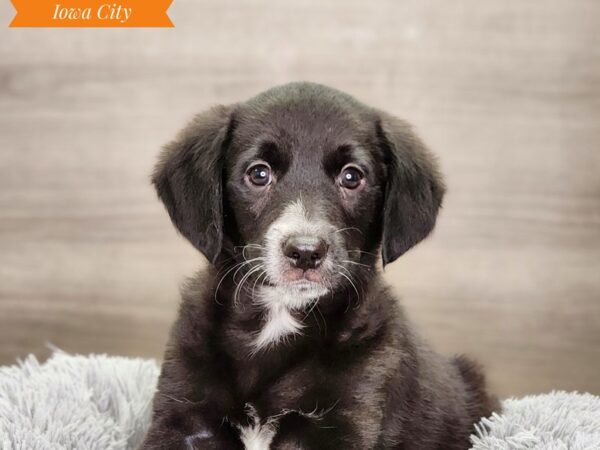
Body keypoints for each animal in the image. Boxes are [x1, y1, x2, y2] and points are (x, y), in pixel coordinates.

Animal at [141, 82, 496, 448]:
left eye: (352, 176)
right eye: (258, 173)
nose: (306, 252)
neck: (279, 315)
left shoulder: (345, 417)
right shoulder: (184, 413)